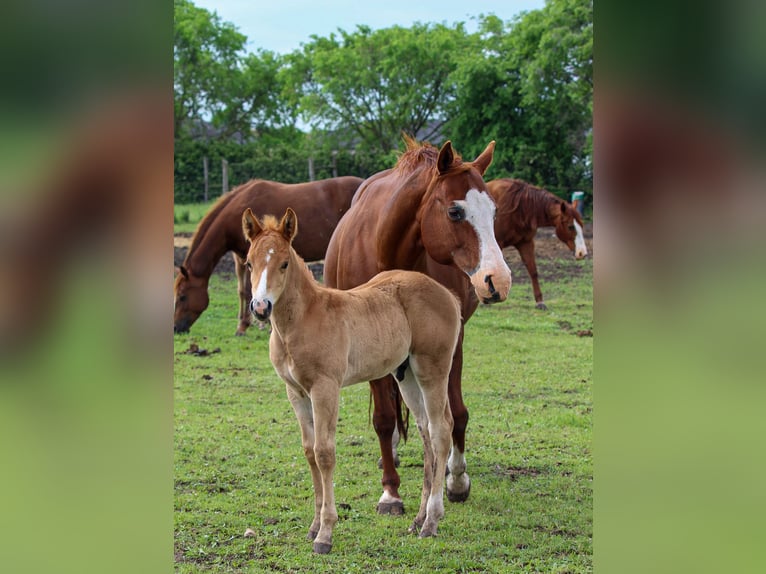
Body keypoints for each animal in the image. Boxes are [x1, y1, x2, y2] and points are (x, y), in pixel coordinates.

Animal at [173, 176, 363, 335]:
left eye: (182, 296)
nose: (176, 328)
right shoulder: (242, 257)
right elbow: (242, 290)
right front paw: (246, 323)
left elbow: (249, 290)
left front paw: (248, 325)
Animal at [242, 207, 461, 554]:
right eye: (249, 263)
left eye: (284, 263)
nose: (261, 307)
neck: (301, 320)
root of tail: (448, 294)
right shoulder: (296, 392)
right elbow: (309, 451)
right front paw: (314, 525)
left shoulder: (325, 388)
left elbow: (324, 453)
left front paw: (325, 534)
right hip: (407, 375)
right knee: (426, 430)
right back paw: (417, 519)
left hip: (433, 369)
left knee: (441, 430)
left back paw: (431, 522)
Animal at [323, 137, 512, 515]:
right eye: (455, 212)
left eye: (494, 213)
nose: (498, 280)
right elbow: (383, 418)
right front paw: (390, 493)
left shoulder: (452, 339)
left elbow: (456, 412)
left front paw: (456, 480)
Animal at [487, 178, 588, 310]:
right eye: (570, 226)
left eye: (581, 225)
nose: (582, 253)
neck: (519, 208)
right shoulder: (497, 244)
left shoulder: (526, 243)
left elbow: (533, 271)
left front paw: (540, 301)